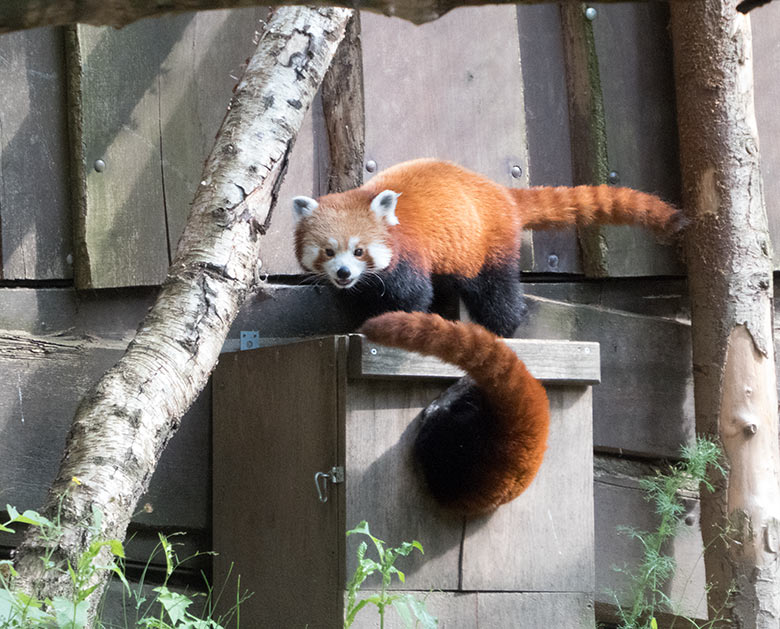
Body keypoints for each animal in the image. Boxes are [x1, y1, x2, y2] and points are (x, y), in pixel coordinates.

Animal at [292, 159, 684, 336]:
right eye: (328, 252)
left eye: (359, 251)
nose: (344, 273)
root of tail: (499, 192)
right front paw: (357, 322)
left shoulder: (408, 258)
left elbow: (413, 295)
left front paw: (392, 320)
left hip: (488, 246)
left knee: (496, 292)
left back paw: (503, 329)